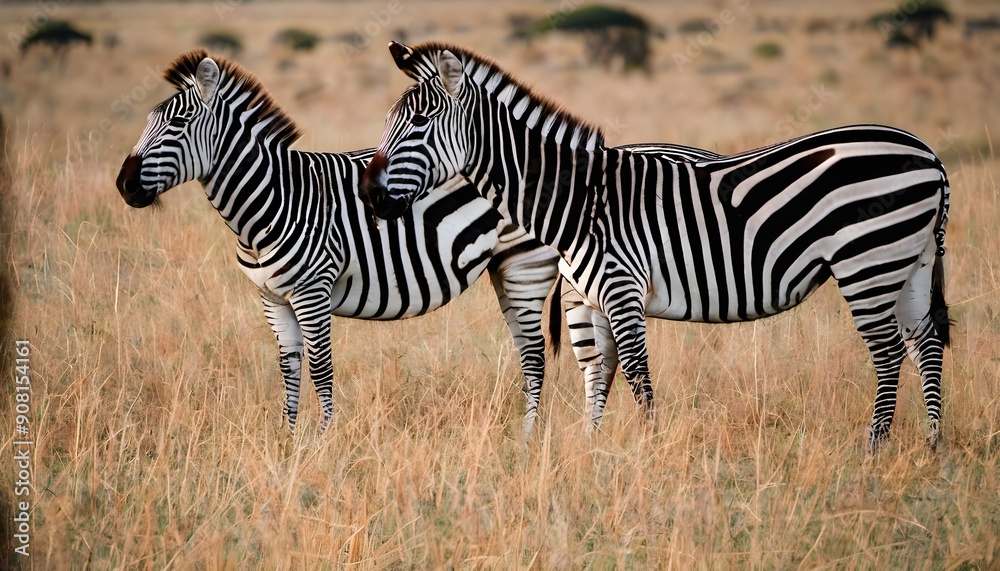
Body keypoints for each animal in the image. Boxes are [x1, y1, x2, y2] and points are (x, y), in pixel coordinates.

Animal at [359, 41, 951, 451]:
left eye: (419, 123)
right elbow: (598, 375)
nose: (370, 196)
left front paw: (646, 454)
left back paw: (874, 450)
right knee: (925, 344)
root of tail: (929, 154)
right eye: (387, 122)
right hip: (911, 262)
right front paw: (593, 453)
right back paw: (931, 446)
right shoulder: (589, 299)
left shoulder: (623, 290)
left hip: (867, 261)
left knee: (889, 352)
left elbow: (638, 379)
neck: (578, 200)